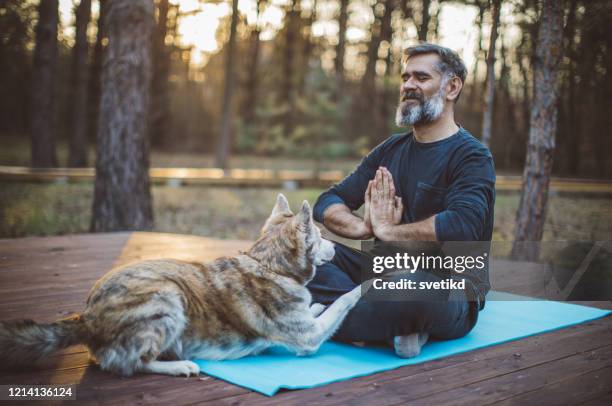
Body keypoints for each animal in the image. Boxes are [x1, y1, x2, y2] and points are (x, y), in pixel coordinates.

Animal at [0, 194, 366, 378]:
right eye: (319, 237)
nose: (335, 250)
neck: (269, 264)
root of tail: (86, 317)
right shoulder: (309, 338)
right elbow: (343, 300)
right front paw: (367, 284)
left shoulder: (306, 323)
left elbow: (320, 307)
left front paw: (315, 303)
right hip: (167, 299)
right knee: (132, 365)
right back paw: (180, 366)